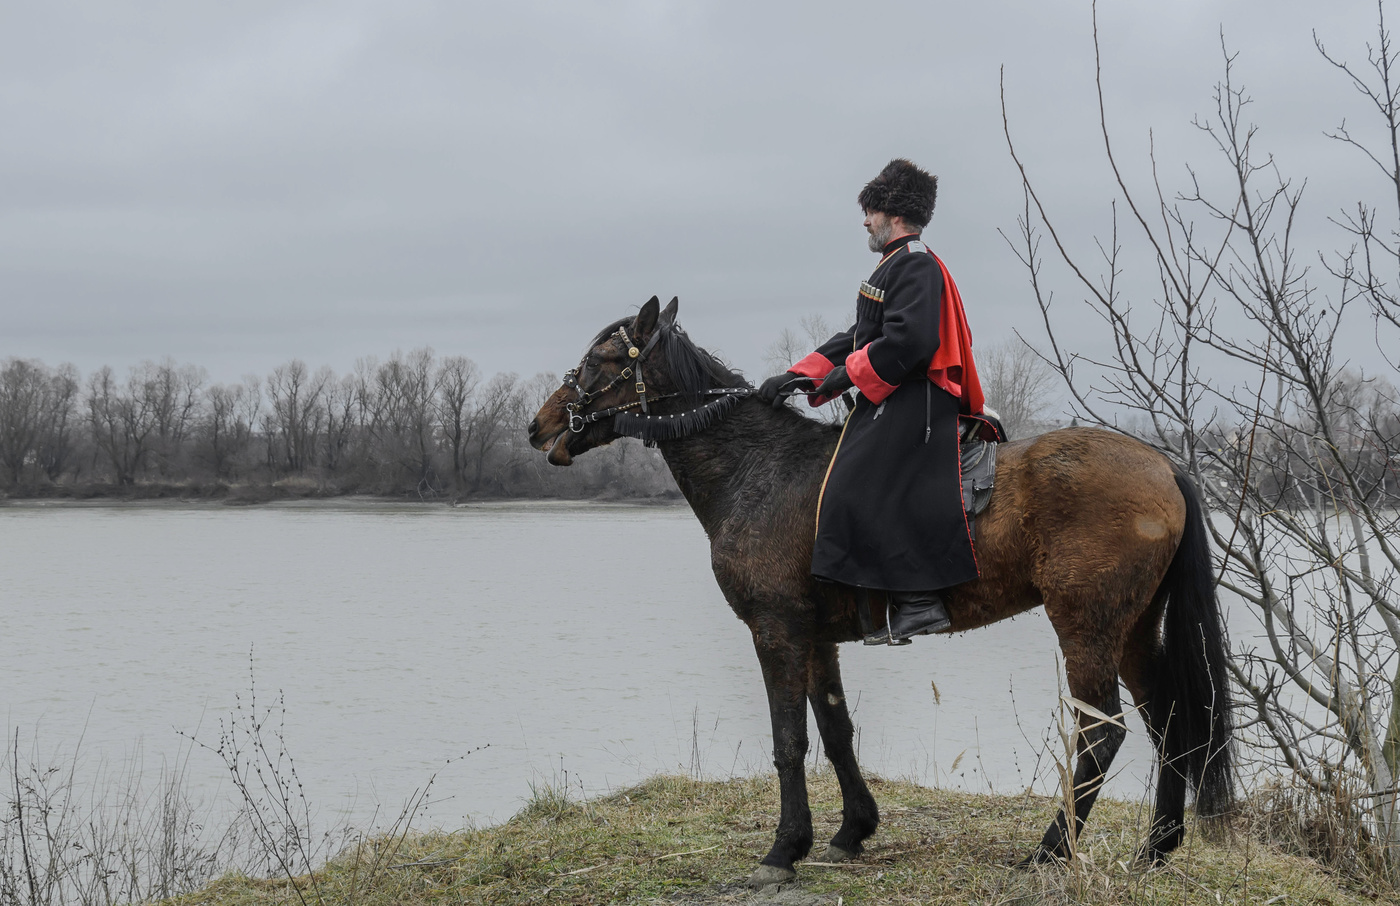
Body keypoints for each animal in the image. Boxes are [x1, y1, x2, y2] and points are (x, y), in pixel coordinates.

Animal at [529, 295, 1232, 884]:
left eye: (599, 360)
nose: (539, 426)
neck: (759, 469)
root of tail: (1162, 463)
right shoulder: (815, 638)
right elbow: (835, 729)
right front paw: (851, 830)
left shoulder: (775, 630)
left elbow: (789, 741)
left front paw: (783, 851)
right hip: (1133, 630)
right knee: (1167, 718)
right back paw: (1156, 846)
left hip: (1086, 628)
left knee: (1101, 732)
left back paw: (1051, 849)